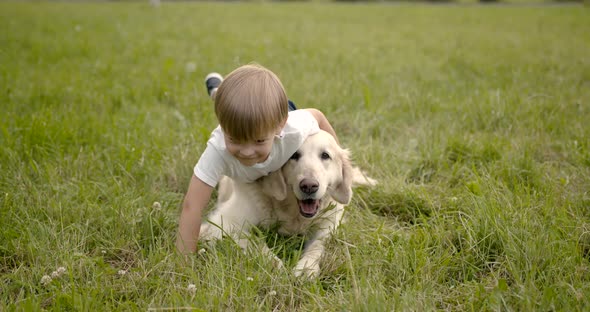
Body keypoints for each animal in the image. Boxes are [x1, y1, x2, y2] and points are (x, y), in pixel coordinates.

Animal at [199, 129, 374, 278]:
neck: (293, 214)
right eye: (294, 155)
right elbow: (254, 240)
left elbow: (318, 245)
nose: (309, 186)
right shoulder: (223, 221)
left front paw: (306, 267)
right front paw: (274, 264)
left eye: (325, 155)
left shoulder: (330, 222)